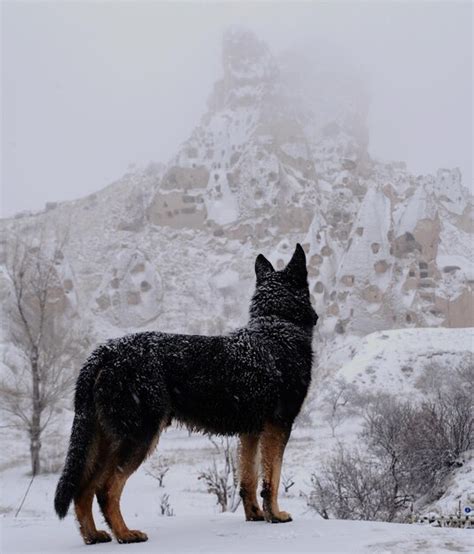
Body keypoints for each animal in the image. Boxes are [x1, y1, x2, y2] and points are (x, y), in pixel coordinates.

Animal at [53, 244, 316, 540]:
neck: (278, 327)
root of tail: (105, 352)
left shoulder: (251, 433)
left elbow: (248, 479)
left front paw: (256, 516)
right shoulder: (278, 426)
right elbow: (272, 479)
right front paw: (275, 515)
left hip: (106, 441)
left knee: (83, 491)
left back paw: (93, 536)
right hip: (139, 438)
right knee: (106, 489)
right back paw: (125, 534)